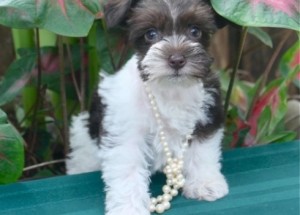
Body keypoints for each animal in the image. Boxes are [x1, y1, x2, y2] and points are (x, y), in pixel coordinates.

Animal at [67, 0, 229, 214]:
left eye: (195, 31)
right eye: (150, 34)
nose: (177, 60)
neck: (170, 89)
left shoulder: (207, 117)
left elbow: (202, 152)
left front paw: (205, 183)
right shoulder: (125, 134)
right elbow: (127, 170)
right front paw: (128, 206)